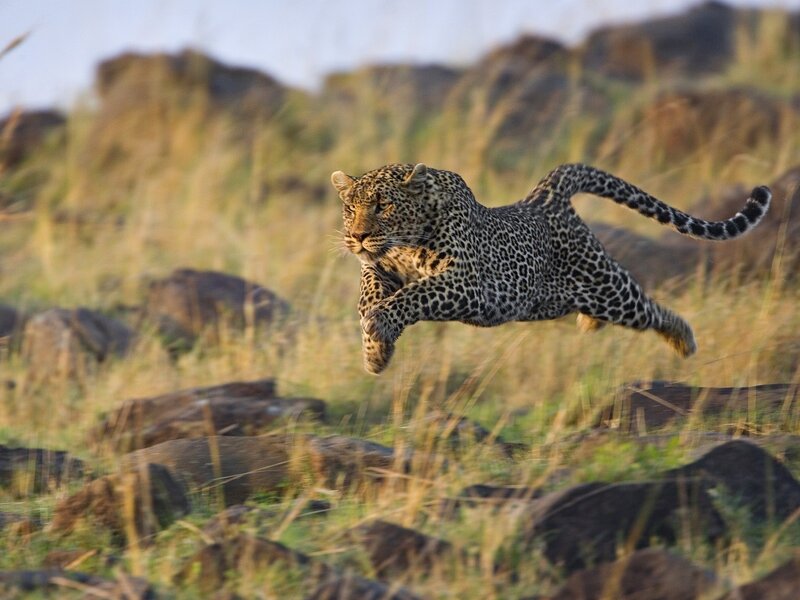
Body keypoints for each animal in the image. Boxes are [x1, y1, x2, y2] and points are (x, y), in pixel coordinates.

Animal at [330, 163, 772, 374]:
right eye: (350, 207)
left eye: (383, 206)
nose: (357, 236)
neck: (405, 242)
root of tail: (545, 195)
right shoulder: (382, 268)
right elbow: (369, 289)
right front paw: (375, 348)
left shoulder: (468, 283)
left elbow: (415, 294)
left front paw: (380, 324)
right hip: (551, 300)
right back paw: (591, 324)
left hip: (608, 288)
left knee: (649, 308)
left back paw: (683, 339)